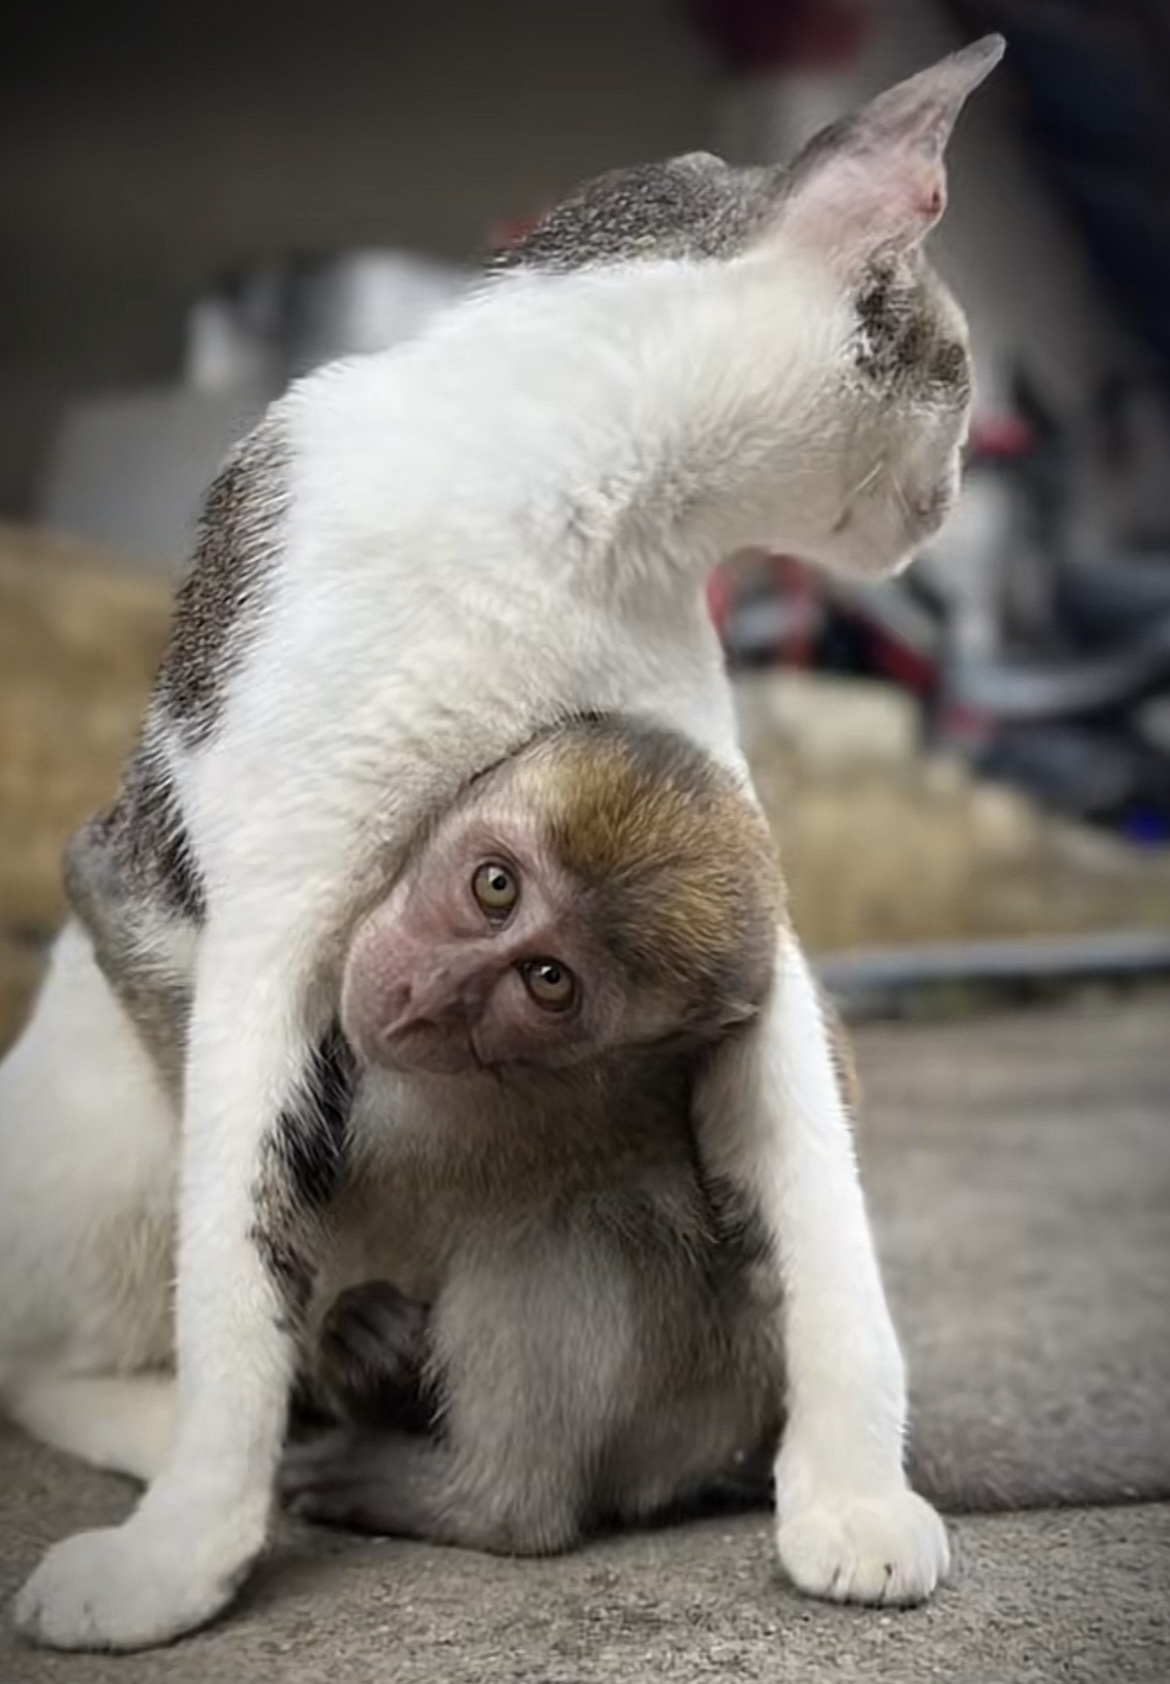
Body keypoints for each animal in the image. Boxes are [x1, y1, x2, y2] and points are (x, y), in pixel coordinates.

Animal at [286, 710, 797, 1549]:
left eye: (548, 981)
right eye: (496, 885)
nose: (427, 998)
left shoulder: (426, 1112)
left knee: (575, 1233)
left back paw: (479, 1503)